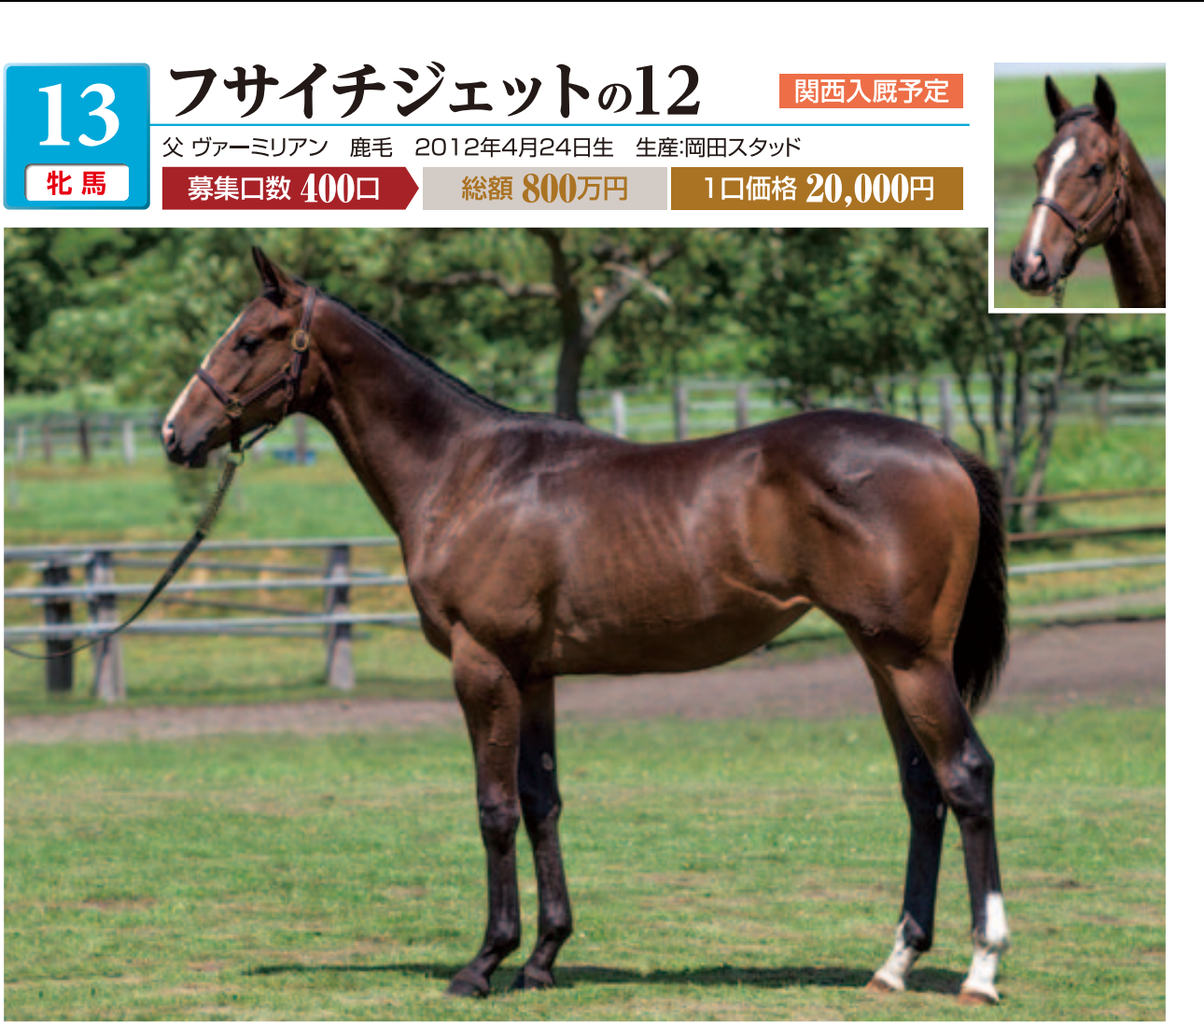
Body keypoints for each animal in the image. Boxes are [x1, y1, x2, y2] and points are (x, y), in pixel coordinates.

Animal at [162, 249, 1012, 1005]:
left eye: (248, 339)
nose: (175, 434)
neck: (467, 472)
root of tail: (941, 447)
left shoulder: (481, 666)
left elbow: (495, 809)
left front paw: (484, 963)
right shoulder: (533, 674)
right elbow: (542, 802)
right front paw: (542, 959)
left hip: (914, 662)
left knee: (966, 776)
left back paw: (982, 969)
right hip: (881, 662)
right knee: (923, 790)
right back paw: (894, 964)